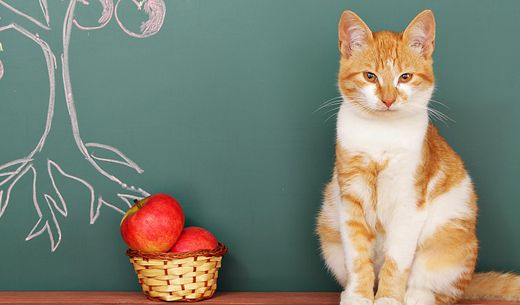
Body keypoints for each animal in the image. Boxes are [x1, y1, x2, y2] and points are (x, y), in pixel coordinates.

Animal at [314, 9, 520, 304]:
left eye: (405, 77)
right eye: (370, 76)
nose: (388, 99)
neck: (382, 134)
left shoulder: (409, 203)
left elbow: (396, 262)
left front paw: (388, 298)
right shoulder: (351, 198)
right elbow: (358, 258)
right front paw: (359, 296)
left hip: (447, 243)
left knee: (442, 293)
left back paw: (415, 296)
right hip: (329, 230)